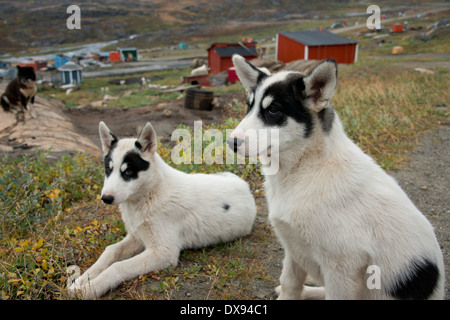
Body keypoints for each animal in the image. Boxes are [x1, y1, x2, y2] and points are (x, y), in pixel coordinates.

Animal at [67, 121, 256, 298]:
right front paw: (81, 280)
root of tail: (246, 187)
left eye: (128, 172)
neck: (150, 193)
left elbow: (117, 267)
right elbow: (111, 251)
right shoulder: (137, 237)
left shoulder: (163, 252)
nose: (106, 198)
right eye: (108, 169)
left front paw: (89, 289)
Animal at [227, 54, 444, 300]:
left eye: (273, 110)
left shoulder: (342, 266)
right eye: (249, 106)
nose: (231, 143)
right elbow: (290, 283)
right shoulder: (294, 248)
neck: (307, 167)